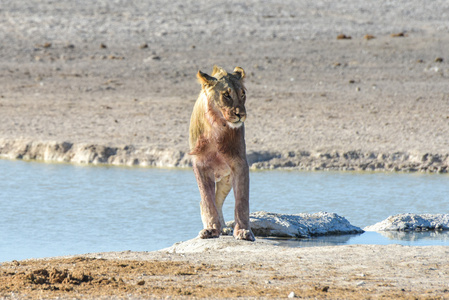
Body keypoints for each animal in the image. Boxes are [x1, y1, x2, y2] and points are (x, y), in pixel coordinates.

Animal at [187, 65, 254, 241]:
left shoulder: (239, 163)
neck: (217, 125)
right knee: (207, 202)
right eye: (226, 95)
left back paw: (224, 227)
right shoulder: (200, 165)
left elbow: (242, 201)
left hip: (226, 180)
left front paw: (243, 231)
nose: (241, 115)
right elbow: (207, 200)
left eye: (242, 94)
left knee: (219, 200)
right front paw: (211, 229)